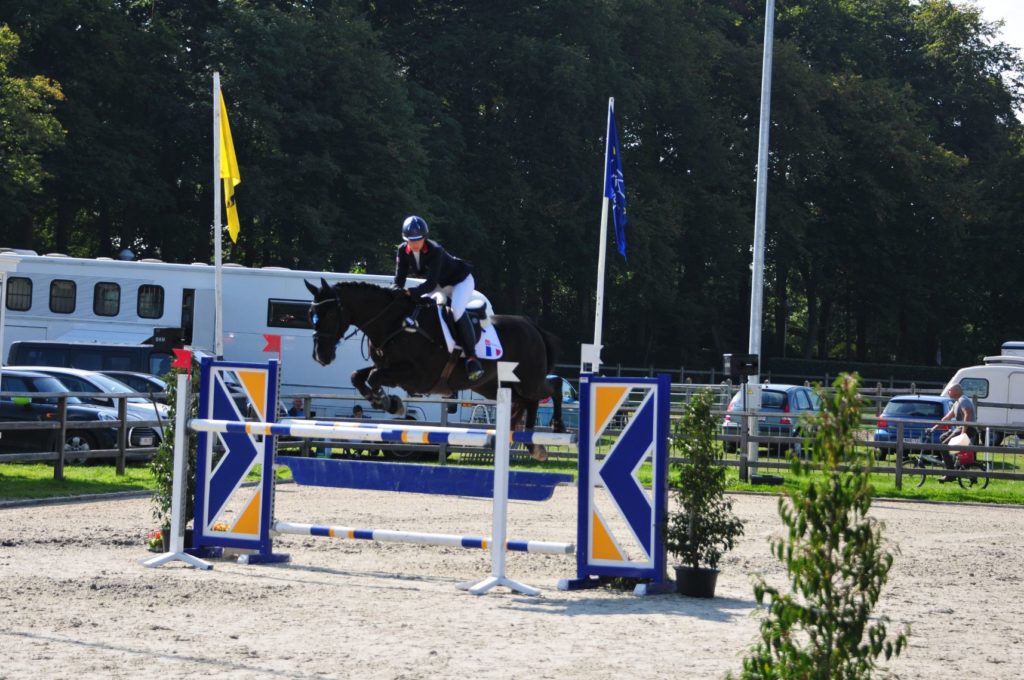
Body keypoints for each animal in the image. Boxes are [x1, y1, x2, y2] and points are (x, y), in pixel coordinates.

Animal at [303, 278, 569, 458]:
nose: (320, 356)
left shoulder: (417, 376)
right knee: (527, 402)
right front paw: (387, 401)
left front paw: (390, 403)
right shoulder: (390, 368)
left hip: (529, 380)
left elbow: (375, 377)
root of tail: (533, 327)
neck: (394, 322)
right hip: (495, 386)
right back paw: (533, 444)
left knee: (552, 387)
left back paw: (557, 428)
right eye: (310, 313)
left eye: (329, 314)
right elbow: (358, 376)